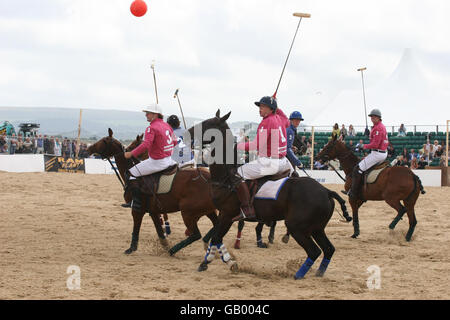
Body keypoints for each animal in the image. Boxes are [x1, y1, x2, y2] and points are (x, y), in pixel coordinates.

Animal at [86, 129, 220, 256]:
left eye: (104, 141)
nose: (88, 148)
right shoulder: (153, 211)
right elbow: (160, 232)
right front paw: (164, 245)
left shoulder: (137, 209)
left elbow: (136, 227)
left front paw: (131, 248)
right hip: (206, 209)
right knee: (216, 225)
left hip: (188, 211)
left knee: (196, 234)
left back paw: (174, 250)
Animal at [187, 110, 352, 280]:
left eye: (207, 123)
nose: (187, 133)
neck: (226, 177)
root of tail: (327, 191)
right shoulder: (223, 215)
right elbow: (216, 237)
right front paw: (209, 261)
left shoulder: (227, 214)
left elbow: (217, 237)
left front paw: (223, 261)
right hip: (317, 228)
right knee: (329, 249)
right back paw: (319, 272)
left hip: (297, 227)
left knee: (314, 251)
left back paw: (298, 274)